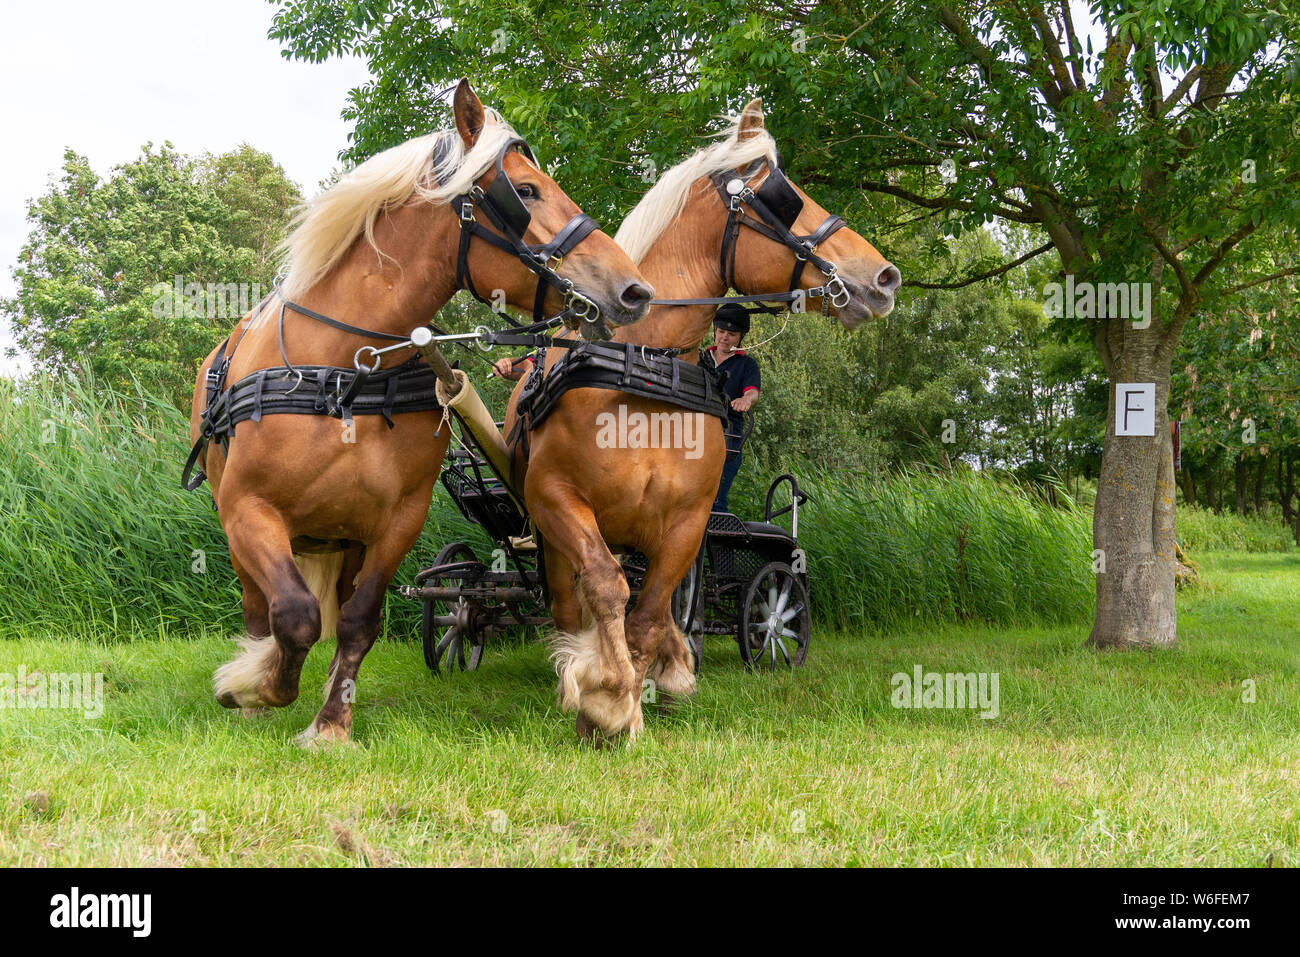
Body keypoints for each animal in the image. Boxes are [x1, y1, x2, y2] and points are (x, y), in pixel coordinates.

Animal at [188, 80, 655, 748]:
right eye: (526, 191)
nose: (634, 291)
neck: (350, 374)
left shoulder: (397, 523)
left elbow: (358, 620)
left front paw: (330, 723)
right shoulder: (249, 510)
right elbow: (295, 615)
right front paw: (253, 685)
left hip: (346, 537)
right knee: (262, 606)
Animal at [501, 98, 899, 738]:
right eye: (786, 198)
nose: (886, 277)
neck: (647, 373)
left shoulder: (690, 523)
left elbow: (650, 612)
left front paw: (642, 689)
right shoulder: (556, 499)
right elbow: (605, 589)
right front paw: (605, 698)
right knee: (570, 600)